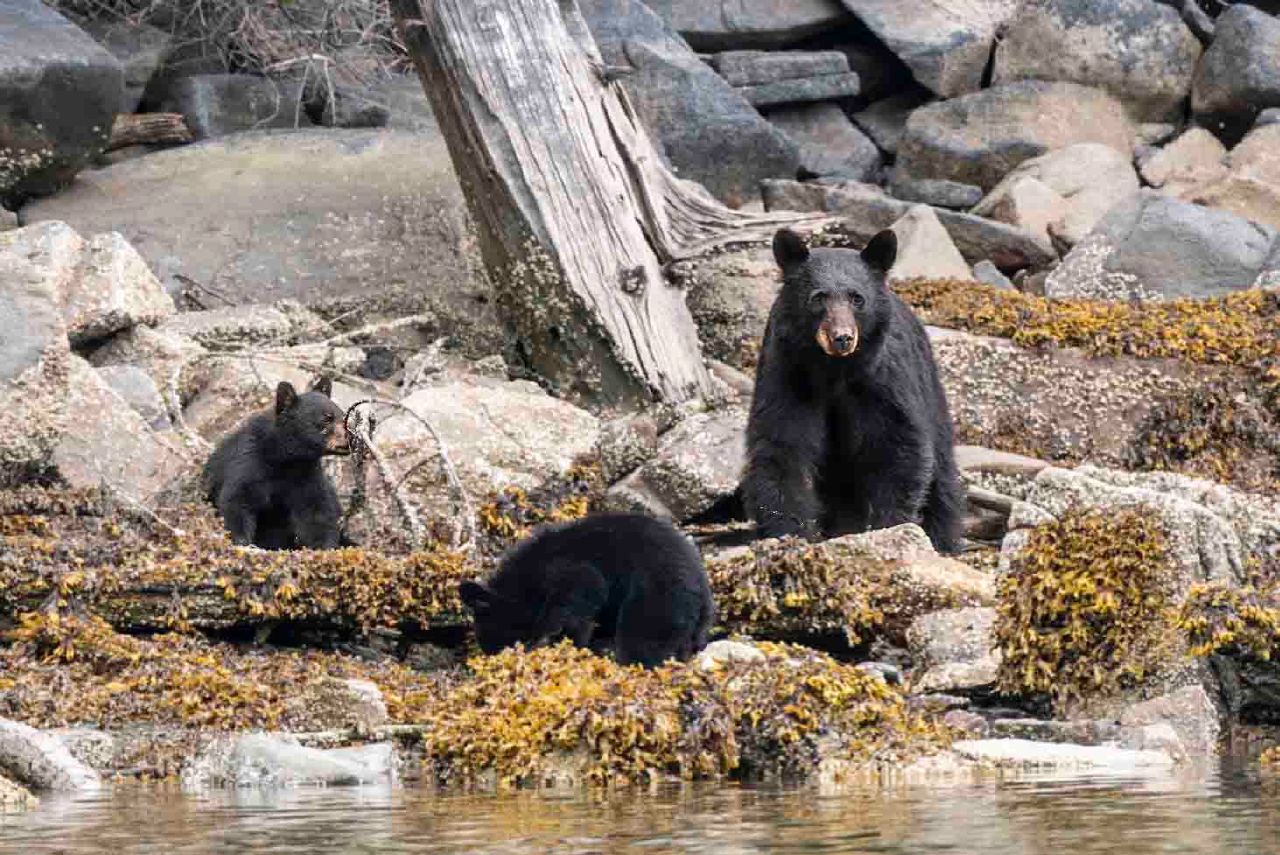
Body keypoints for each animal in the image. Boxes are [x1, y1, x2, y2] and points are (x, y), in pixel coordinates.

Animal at [202, 377, 351, 550]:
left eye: (344, 416)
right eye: (327, 418)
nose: (352, 436)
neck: (285, 459)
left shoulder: (306, 474)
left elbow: (317, 511)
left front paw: (325, 545)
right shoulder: (249, 462)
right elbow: (237, 500)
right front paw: (242, 540)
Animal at [458, 512, 715, 668]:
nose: (497, 659)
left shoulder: (563, 568)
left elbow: (585, 589)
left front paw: (553, 639)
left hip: (658, 596)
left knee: (642, 638)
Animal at [740, 228, 964, 554]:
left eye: (857, 298)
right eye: (818, 298)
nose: (842, 338)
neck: (835, 372)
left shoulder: (883, 381)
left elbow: (898, 444)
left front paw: (890, 526)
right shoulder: (788, 373)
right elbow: (781, 443)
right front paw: (789, 531)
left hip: (931, 391)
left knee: (942, 474)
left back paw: (944, 540)